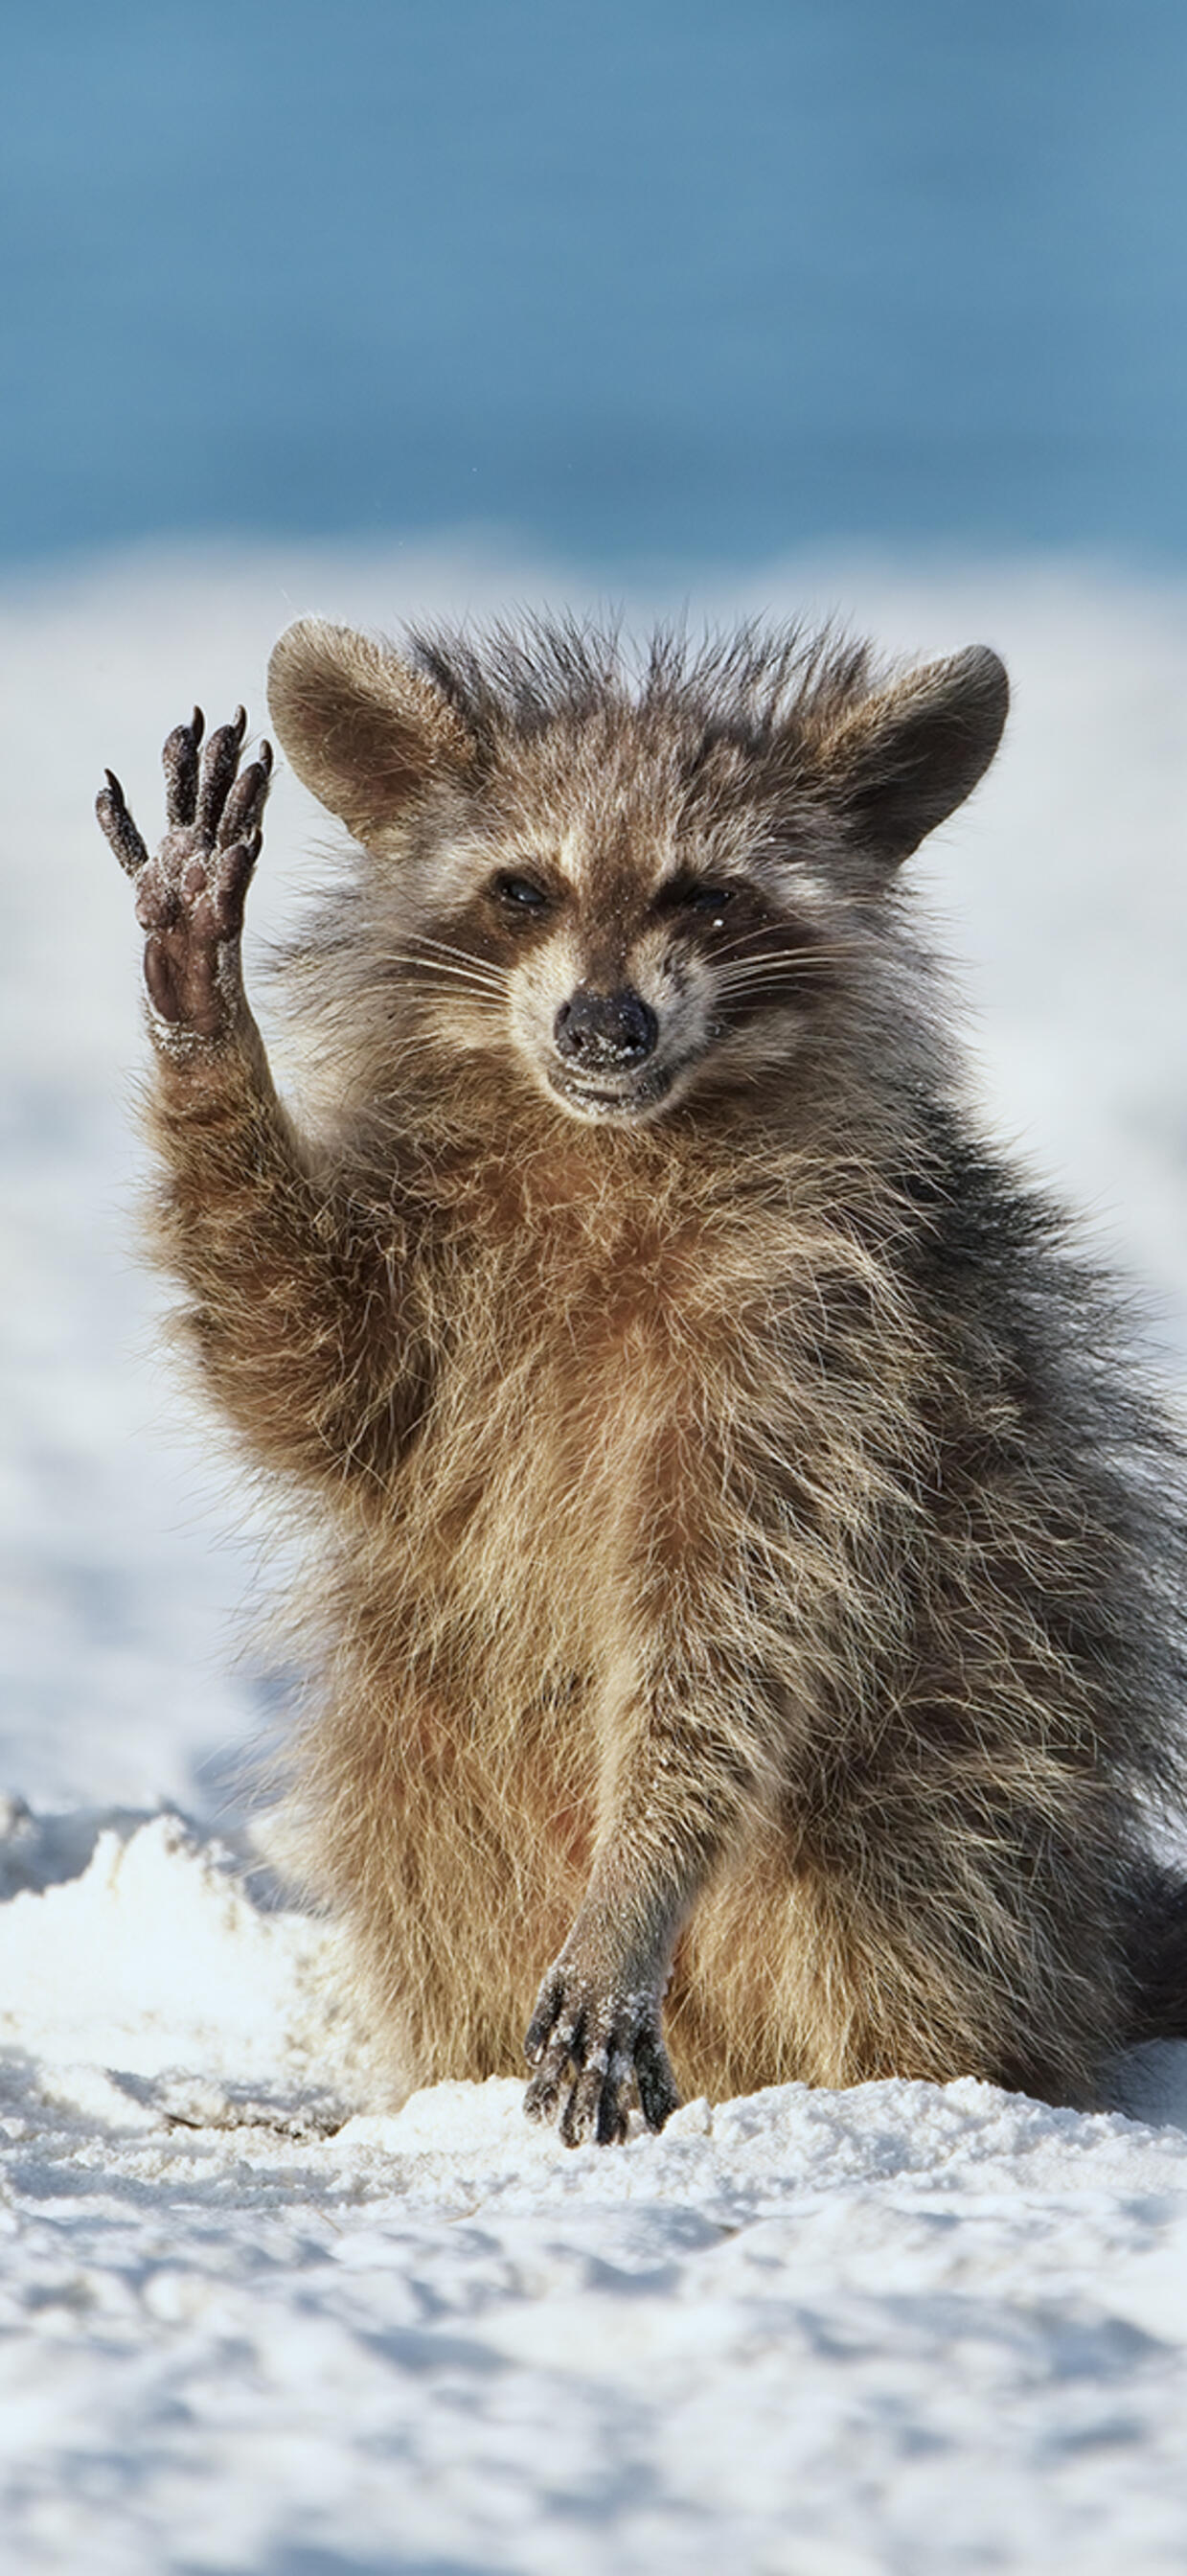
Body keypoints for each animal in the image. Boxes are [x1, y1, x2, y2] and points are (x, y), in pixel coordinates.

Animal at [96, 613, 1187, 2144]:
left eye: (708, 897)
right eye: (520, 890)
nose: (602, 1027)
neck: (616, 1143)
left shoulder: (821, 1335)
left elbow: (729, 1618)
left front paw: (638, 1882)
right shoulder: (435, 1273)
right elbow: (305, 1369)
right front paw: (204, 1020)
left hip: (973, 1746)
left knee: (917, 1874)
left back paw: (918, 2066)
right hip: (426, 1748)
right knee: (416, 1835)